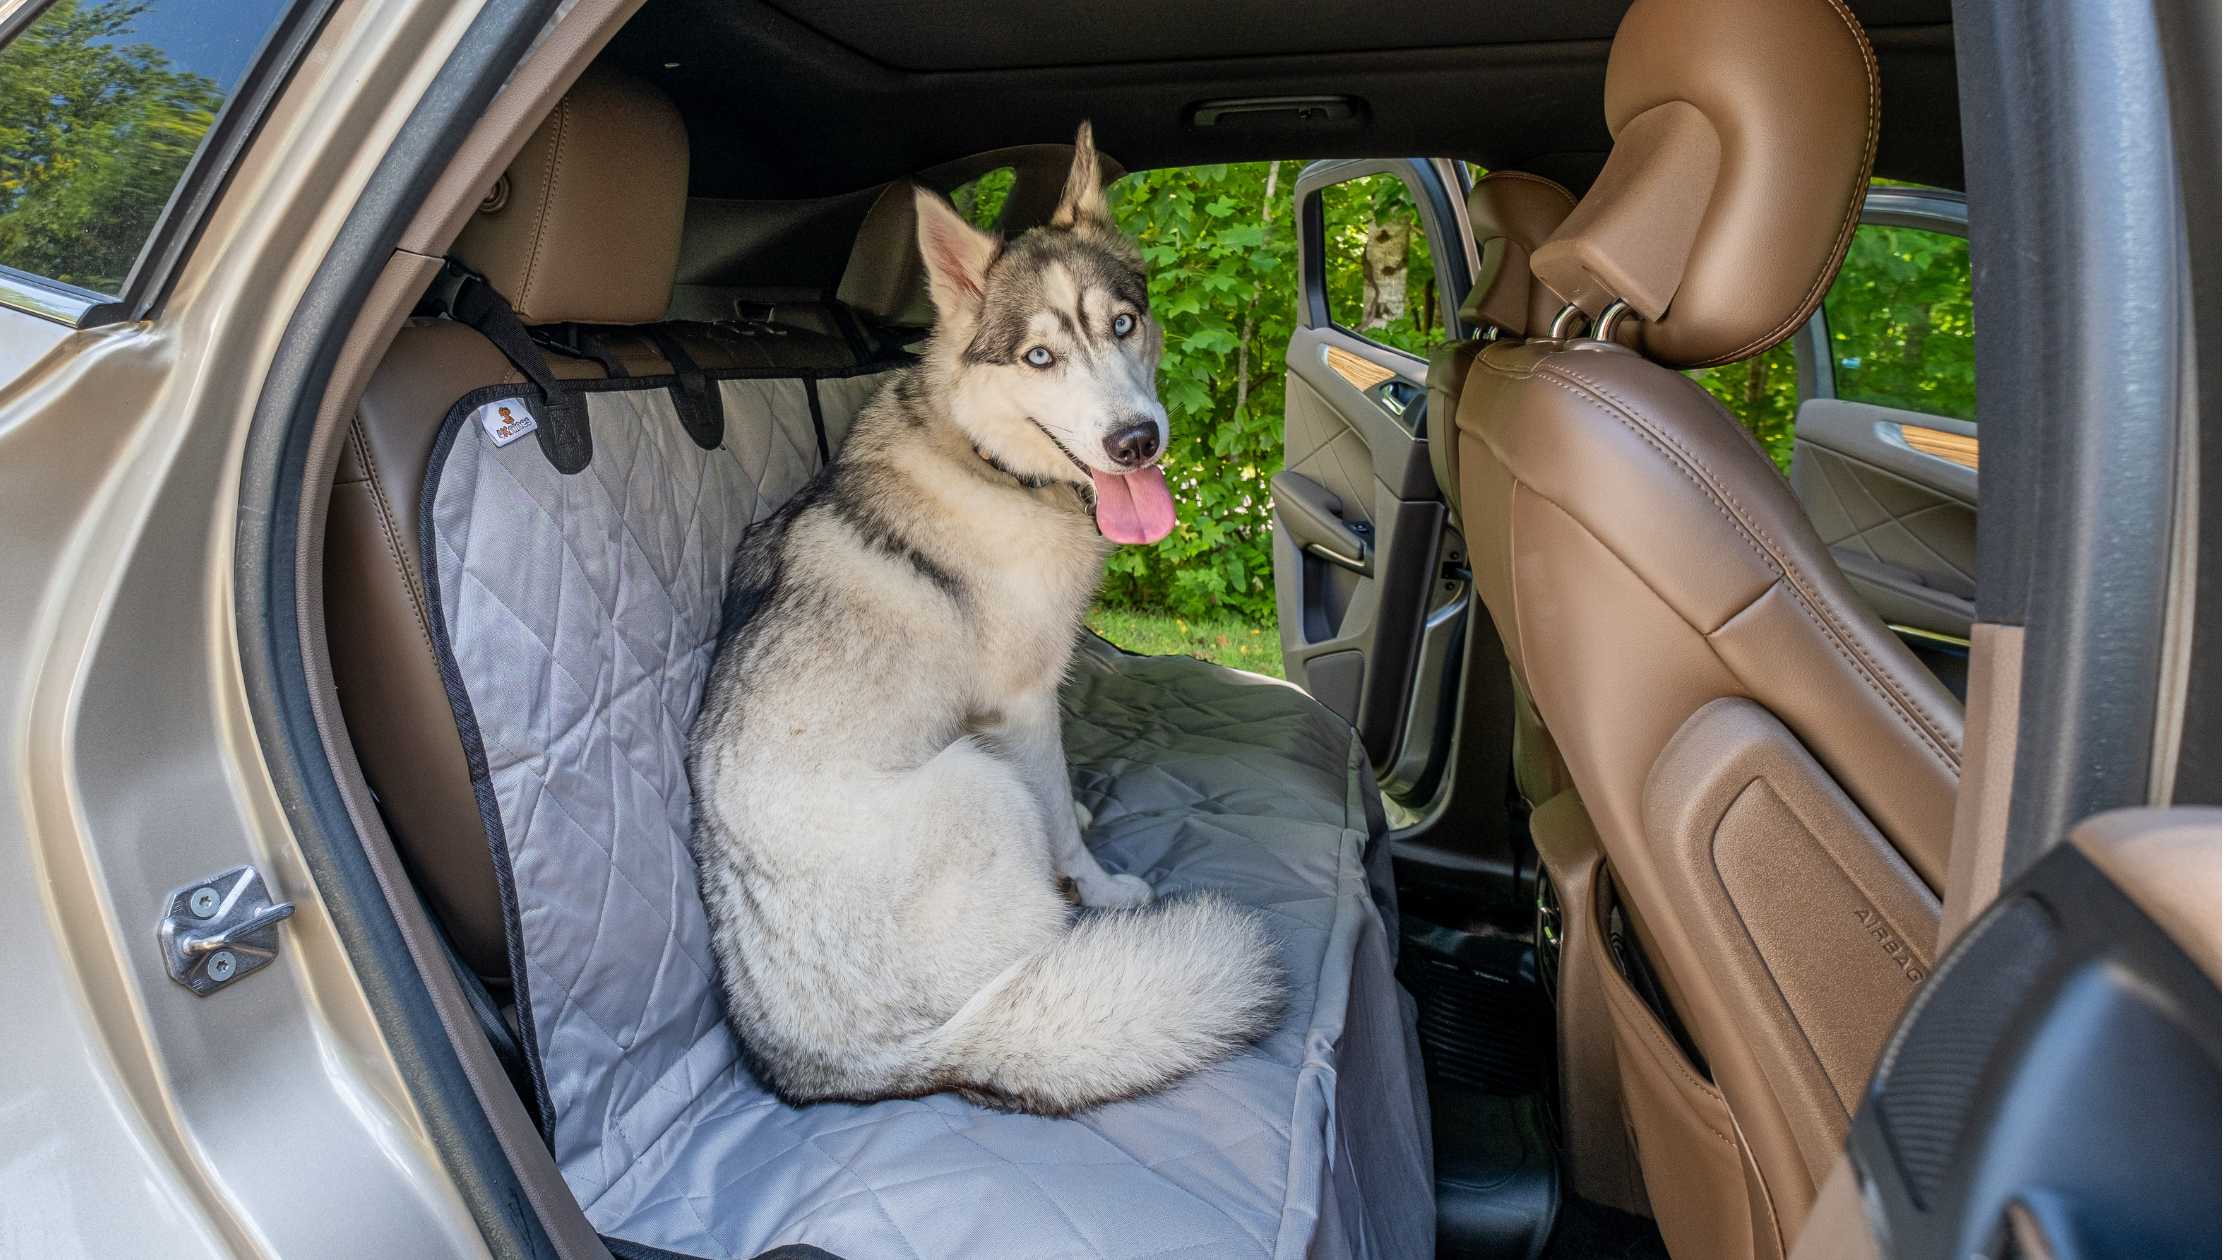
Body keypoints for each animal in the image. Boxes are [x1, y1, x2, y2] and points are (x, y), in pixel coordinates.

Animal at [680, 124, 1281, 1107]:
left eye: (1123, 325)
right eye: (1039, 357)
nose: (1136, 442)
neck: (990, 462)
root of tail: (832, 1060)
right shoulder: (1024, 709)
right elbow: (1063, 818)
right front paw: (1100, 881)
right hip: (978, 784)